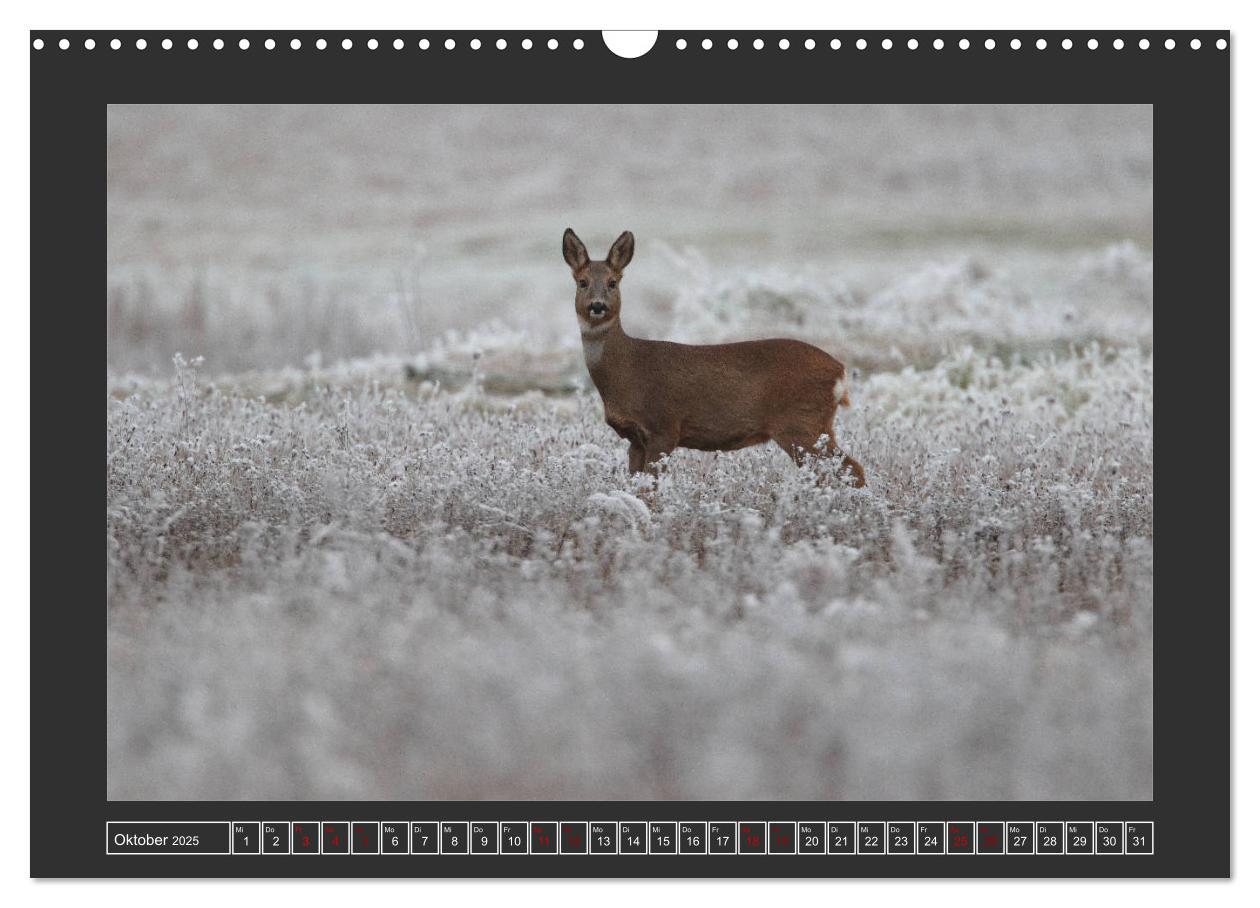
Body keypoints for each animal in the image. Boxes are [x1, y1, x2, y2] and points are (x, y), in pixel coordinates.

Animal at [564, 230, 866, 486]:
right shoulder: (635, 439)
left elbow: (651, 487)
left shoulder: (664, 425)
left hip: (802, 424)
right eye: (582, 282)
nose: (598, 306)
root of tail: (840, 371)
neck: (626, 370)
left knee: (852, 468)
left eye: (613, 282)